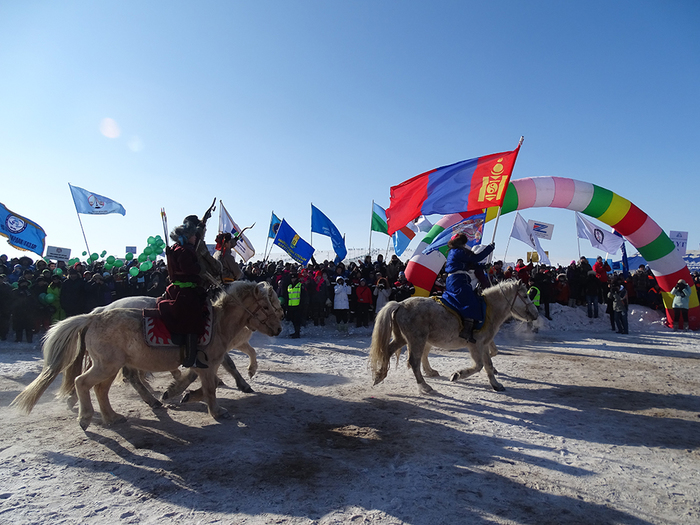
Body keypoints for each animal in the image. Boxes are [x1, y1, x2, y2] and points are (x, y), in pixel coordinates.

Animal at [11, 280, 282, 428]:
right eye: (266, 306)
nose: (279, 328)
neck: (218, 323)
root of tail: (94, 315)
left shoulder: (203, 364)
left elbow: (203, 384)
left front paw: (182, 394)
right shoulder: (208, 363)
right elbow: (211, 387)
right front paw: (217, 411)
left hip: (110, 366)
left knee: (101, 388)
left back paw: (113, 416)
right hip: (106, 365)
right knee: (82, 382)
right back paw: (86, 416)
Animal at [370, 278, 540, 392]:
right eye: (525, 296)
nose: (536, 314)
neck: (488, 310)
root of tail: (400, 304)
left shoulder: (483, 344)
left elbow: (489, 365)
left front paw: (496, 384)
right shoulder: (475, 345)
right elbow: (479, 365)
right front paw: (458, 375)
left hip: (403, 338)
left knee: (388, 350)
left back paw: (380, 375)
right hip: (417, 340)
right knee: (414, 361)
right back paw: (425, 386)